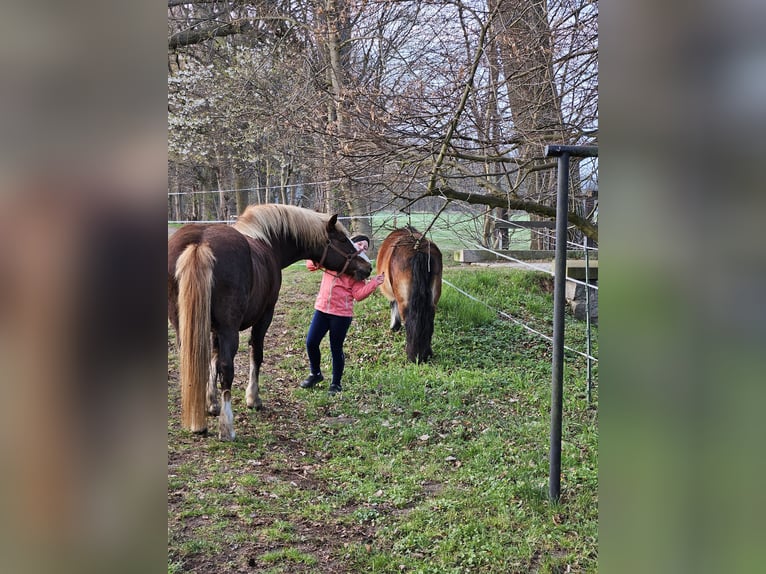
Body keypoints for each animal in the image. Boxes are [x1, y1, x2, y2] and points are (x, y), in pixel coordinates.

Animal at [168, 204, 372, 440]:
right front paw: (253, 399)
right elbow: (255, 354)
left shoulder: (212, 328)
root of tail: (200, 243)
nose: (367, 267)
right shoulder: (264, 316)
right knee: (227, 368)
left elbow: (211, 359)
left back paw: (196, 421)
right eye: (341, 239)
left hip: (184, 326)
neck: (267, 242)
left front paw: (211, 404)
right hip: (229, 328)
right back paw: (227, 427)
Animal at [376, 227, 443, 363]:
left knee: (409, 321)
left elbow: (393, 305)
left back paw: (412, 355)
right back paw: (426, 353)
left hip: (404, 301)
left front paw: (394, 327)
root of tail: (419, 250)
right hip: (433, 301)